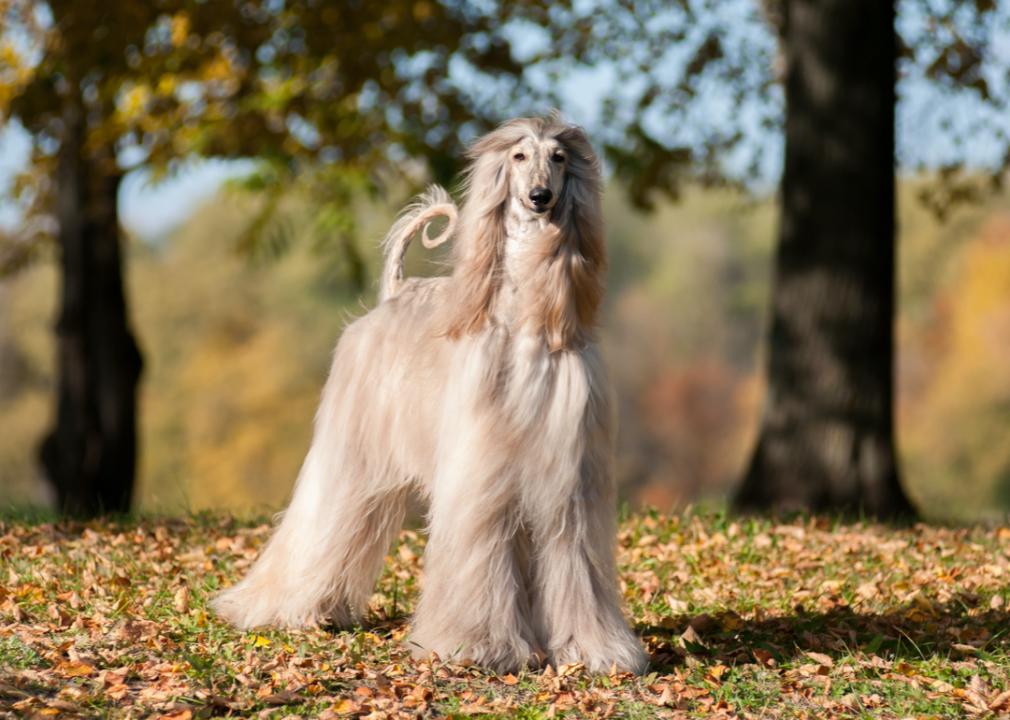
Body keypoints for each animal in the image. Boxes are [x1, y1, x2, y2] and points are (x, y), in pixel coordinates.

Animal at [215, 113, 646, 674]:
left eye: (558, 158)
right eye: (518, 157)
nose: (540, 197)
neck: (525, 319)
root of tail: (396, 292)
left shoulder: (566, 480)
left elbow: (572, 559)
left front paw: (589, 649)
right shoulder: (480, 471)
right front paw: (476, 645)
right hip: (351, 448)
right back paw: (278, 607)